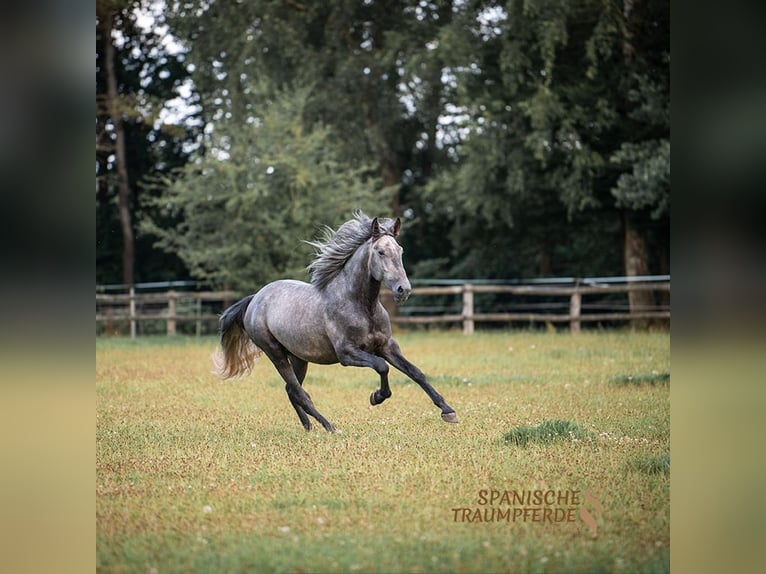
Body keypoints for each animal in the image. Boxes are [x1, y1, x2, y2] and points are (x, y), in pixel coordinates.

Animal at [213, 214, 460, 434]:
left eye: (400, 251)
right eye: (380, 251)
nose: (403, 290)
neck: (362, 306)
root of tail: (256, 298)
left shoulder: (387, 346)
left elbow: (416, 373)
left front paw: (448, 412)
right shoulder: (347, 354)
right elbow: (382, 366)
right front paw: (376, 397)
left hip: (299, 357)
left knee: (292, 390)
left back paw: (308, 427)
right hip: (275, 353)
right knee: (300, 392)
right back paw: (330, 427)